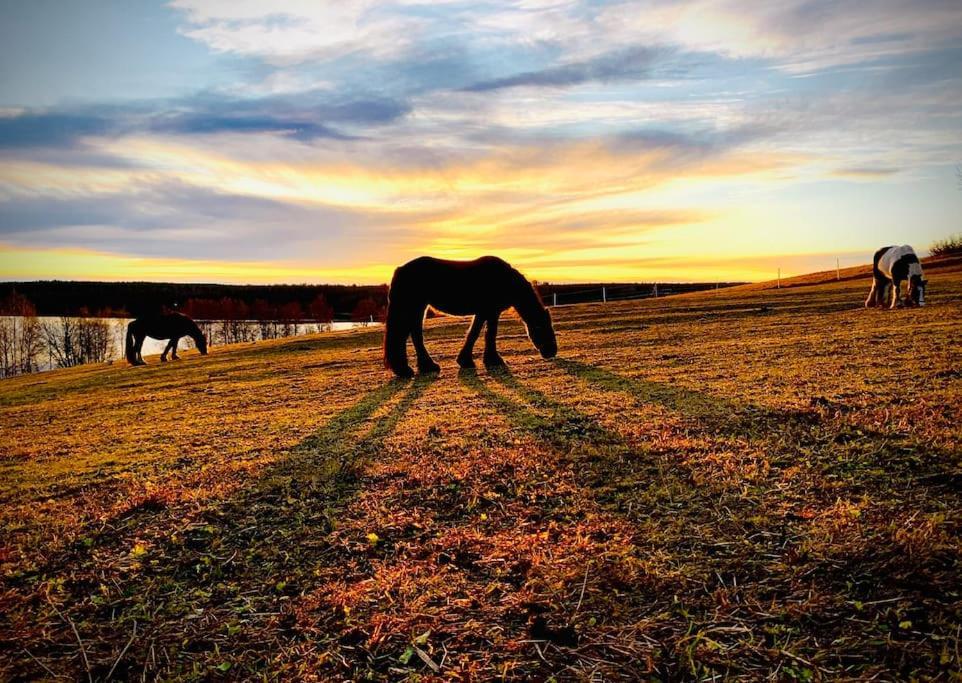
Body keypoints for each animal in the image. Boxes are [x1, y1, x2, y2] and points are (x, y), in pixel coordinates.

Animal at [382, 255, 556, 376]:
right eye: (540, 327)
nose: (552, 351)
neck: (505, 281)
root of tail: (400, 269)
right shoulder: (487, 311)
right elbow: (481, 333)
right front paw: (485, 360)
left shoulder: (488, 313)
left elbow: (482, 333)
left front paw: (477, 360)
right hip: (413, 308)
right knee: (409, 335)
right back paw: (410, 369)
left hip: (418, 308)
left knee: (412, 334)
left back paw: (422, 367)